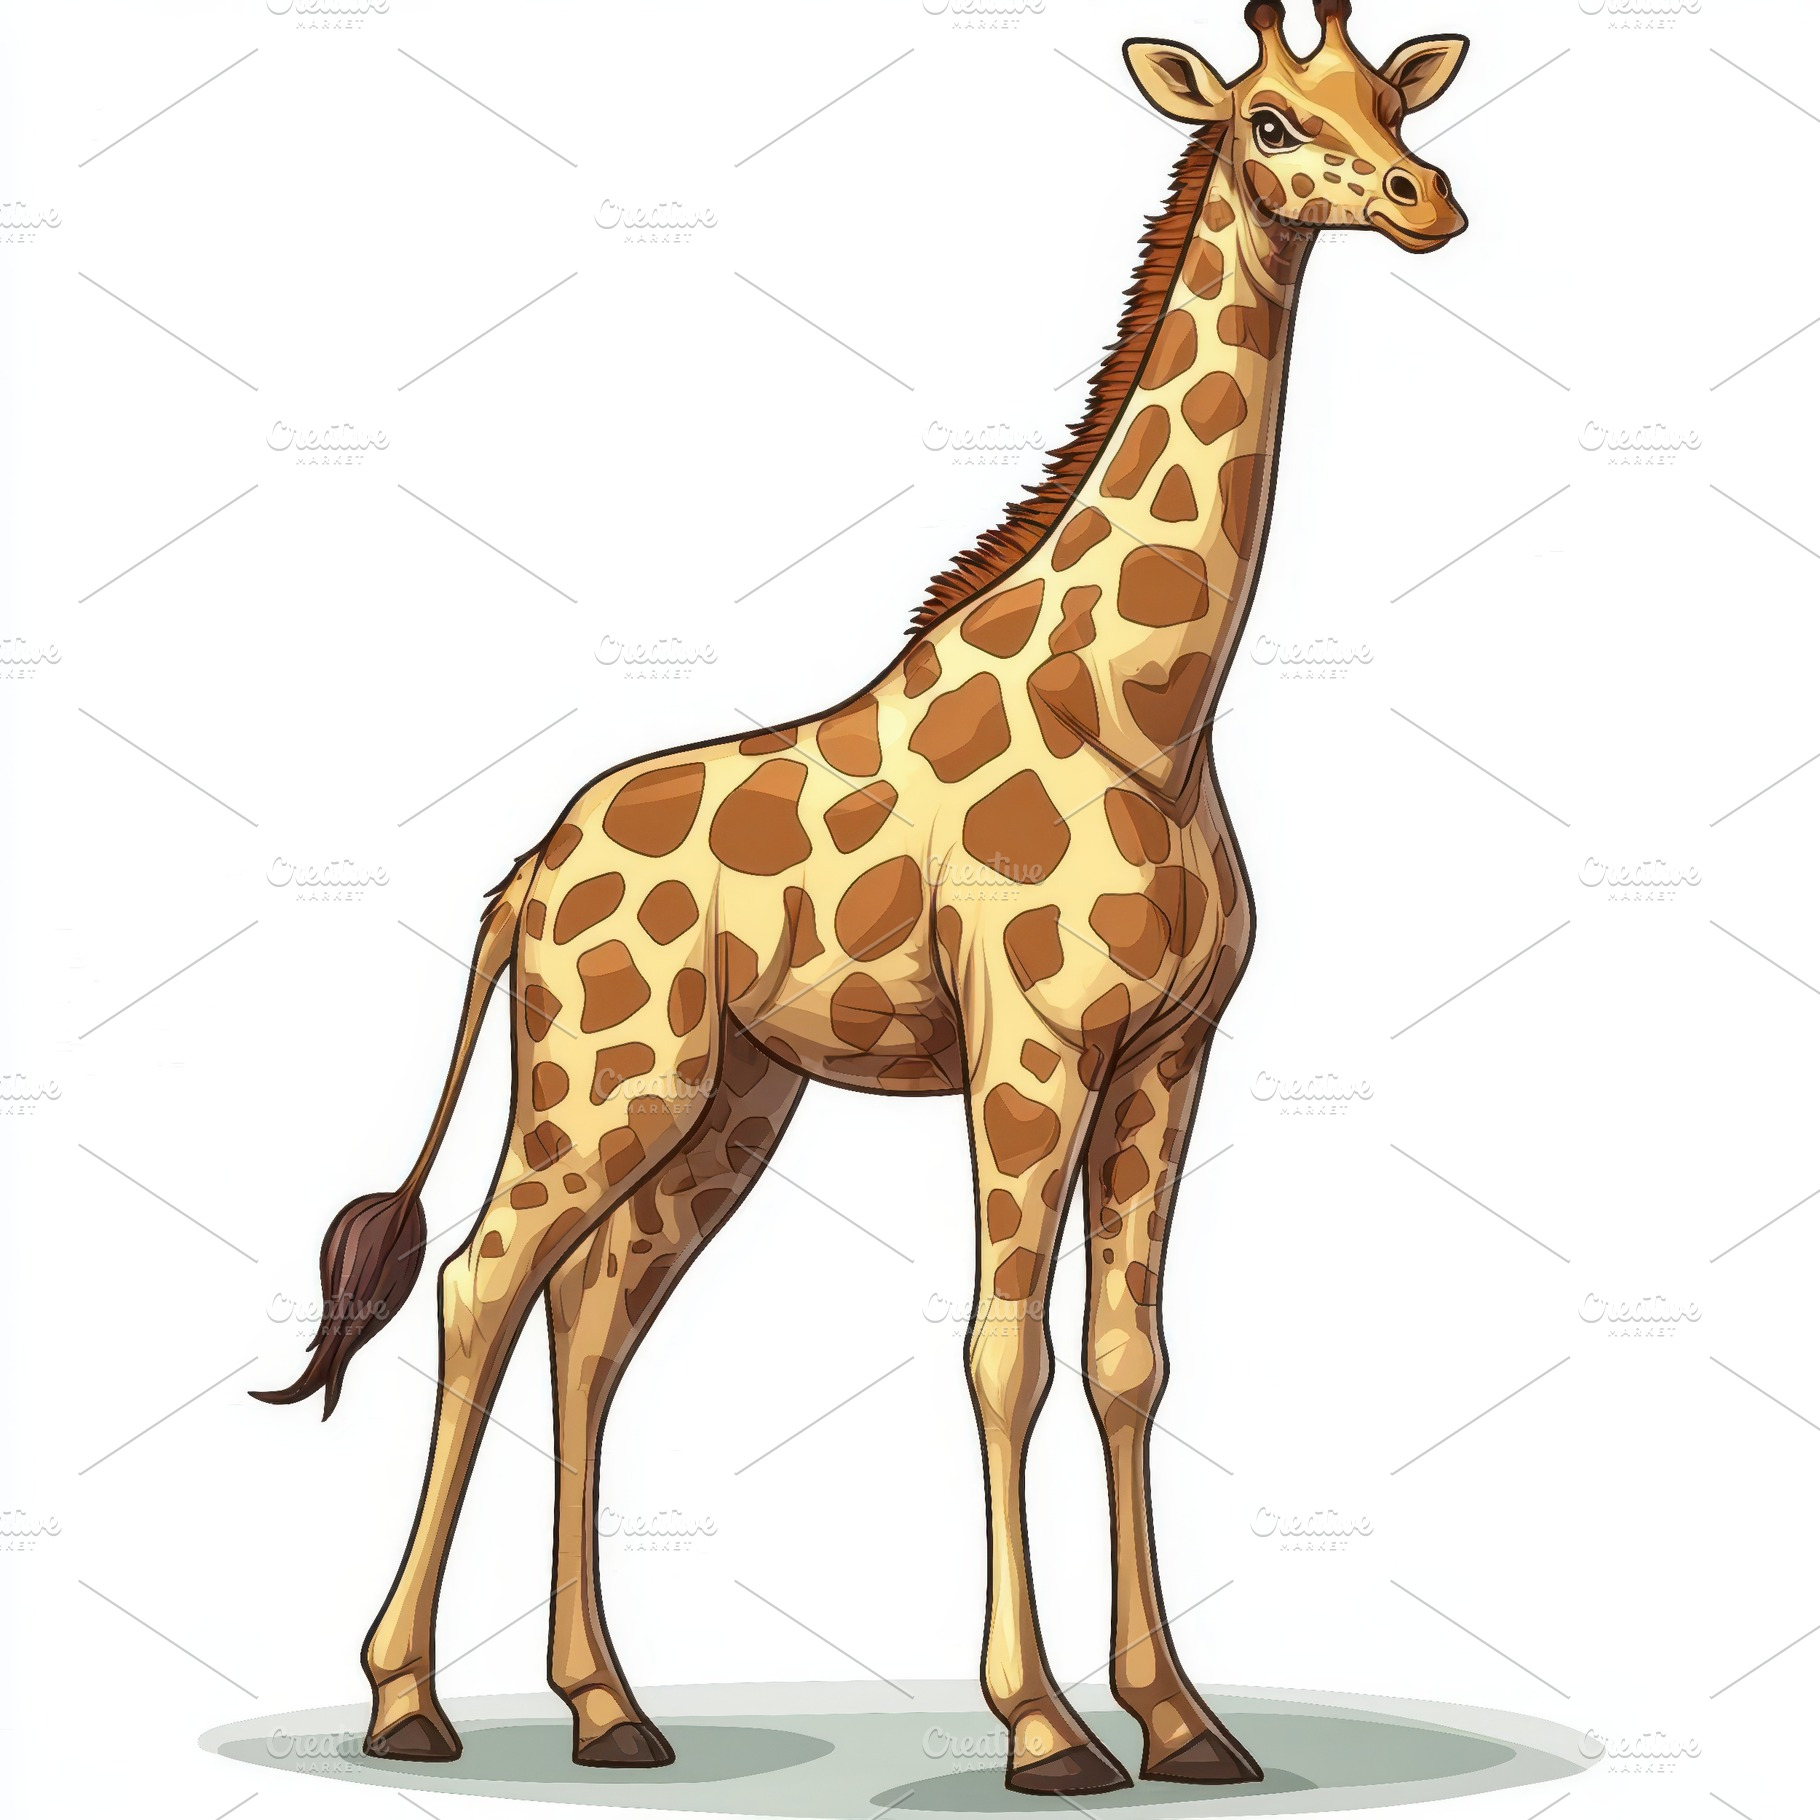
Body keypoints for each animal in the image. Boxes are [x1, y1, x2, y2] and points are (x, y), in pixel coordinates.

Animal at [258, 2, 1468, 1796]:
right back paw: (406, 1703)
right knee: (484, 1280)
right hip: (605, 1077)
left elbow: (1130, 1360)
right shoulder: (1032, 1049)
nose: (1422, 197)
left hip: (729, 1101)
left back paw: (611, 1709)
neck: (1153, 710)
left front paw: (1184, 1721)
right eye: (1267, 119)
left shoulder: (1169, 1057)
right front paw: (1045, 1728)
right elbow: (1003, 1350)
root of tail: (525, 876)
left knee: (591, 1317)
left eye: (1391, 95)